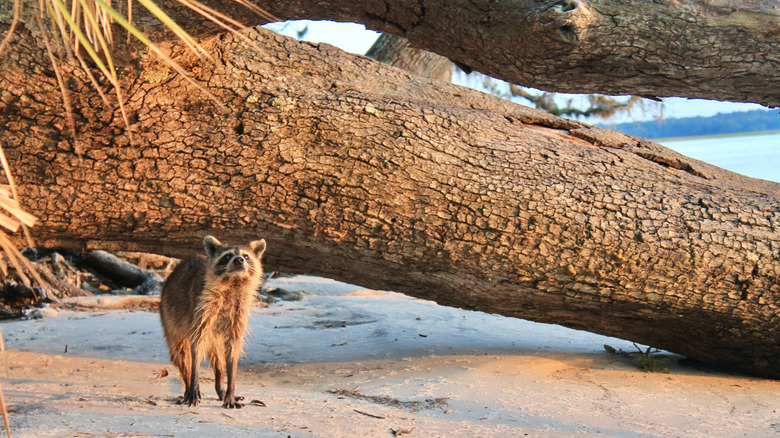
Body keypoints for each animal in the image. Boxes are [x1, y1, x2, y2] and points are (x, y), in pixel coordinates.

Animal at [159, 235, 267, 408]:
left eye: (246, 256)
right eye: (227, 256)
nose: (239, 260)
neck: (233, 282)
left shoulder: (237, 315)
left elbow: (233, 350)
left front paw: (230, 388)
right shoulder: (202, 308)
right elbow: (196, 346)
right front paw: (194, 383)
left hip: (214, 337)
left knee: (217, 358)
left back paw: (220, 385)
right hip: (170, 318)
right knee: (182, 354)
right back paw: (188, 386)